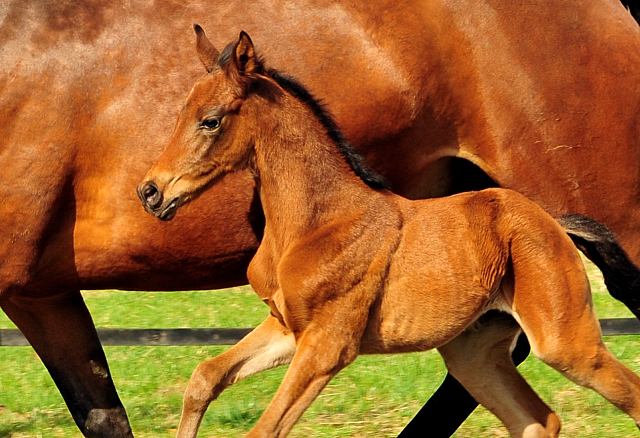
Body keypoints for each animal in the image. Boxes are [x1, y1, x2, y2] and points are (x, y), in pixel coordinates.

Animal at [1, 0, 640, 436]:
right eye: (180, 109)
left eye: (211, 119)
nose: (151, 192)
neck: (317, 221)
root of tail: (555, 222)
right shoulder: (286, 329)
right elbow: (200, 378)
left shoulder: (328, 345)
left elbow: (263, 428)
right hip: (472, 351)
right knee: (535, 419)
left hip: (567, 339)